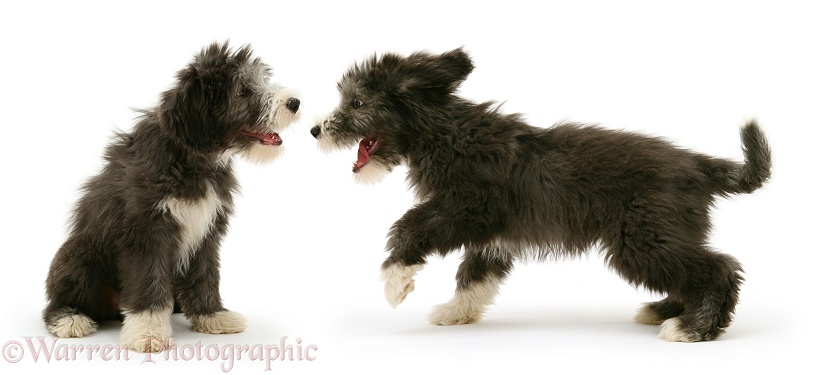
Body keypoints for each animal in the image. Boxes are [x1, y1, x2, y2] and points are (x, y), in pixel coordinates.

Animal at [43, 42, 300, 354]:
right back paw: (69, 319)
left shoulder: (206, 230)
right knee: (58, 301)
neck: (189, 159)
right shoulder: (147, 231)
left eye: (261, 81)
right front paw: (148, 332)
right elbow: (149, 282)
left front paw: (212, 316)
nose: (295, 103)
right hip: (79, 256)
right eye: (243, 91)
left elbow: (205, 276)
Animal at [310, 49, 768, 344]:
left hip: (641, 237)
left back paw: (693, 328)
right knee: (694, 268)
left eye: (357, 102)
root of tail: (699, 164)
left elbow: (409, 225)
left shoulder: (469, 207)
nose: (314, 130)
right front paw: (457, 313)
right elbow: (476, 273)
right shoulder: (491, 234)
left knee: (720, 267)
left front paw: (396, 281)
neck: (446, 132)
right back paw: (669, 311)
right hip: (662, 233)